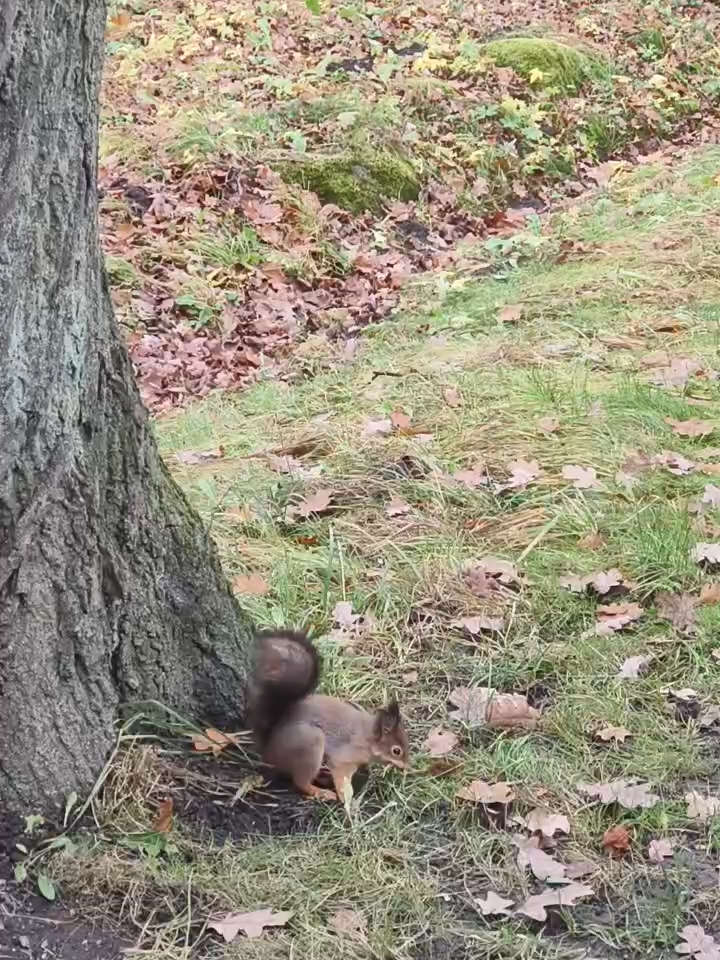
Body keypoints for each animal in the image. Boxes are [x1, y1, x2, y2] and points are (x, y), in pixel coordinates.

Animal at [248, 630, 409, 801]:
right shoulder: (345, 757)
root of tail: (268, 748)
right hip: (309, 744)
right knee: (300, 781)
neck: (369, 738)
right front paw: (347, 799)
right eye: (396, 751)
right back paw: (321, 792)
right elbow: (341, 777)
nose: (407, 766)